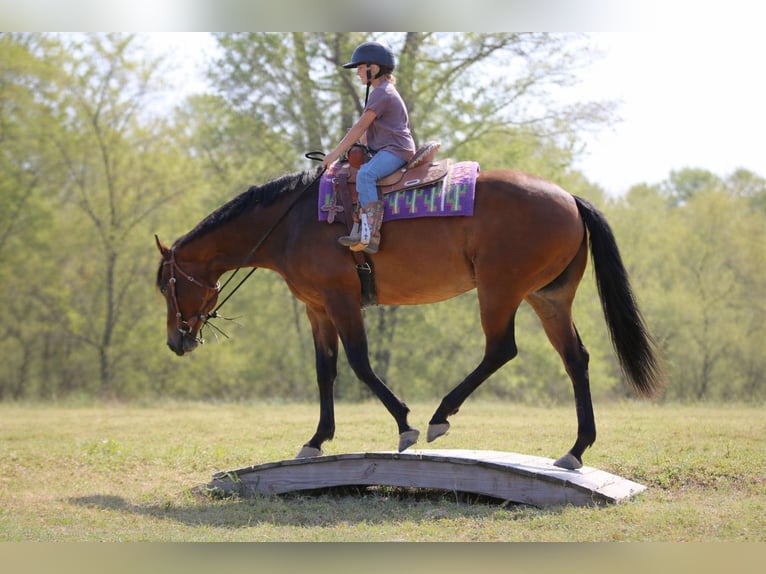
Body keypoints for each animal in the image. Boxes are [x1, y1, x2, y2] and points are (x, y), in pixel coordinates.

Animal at [155, 164, 663, 469]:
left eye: (166, 285)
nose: (176, 341)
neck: (291, 223)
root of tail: (570, 198)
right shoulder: (317, 308)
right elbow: (325, 371)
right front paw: (316, 439)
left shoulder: (341, 300)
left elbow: (360, 364)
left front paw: (405, 424)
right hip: (548, 297)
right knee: (575, 359)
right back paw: (576, 449)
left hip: (499, 291)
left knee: (501, 349)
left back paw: (441, 415)